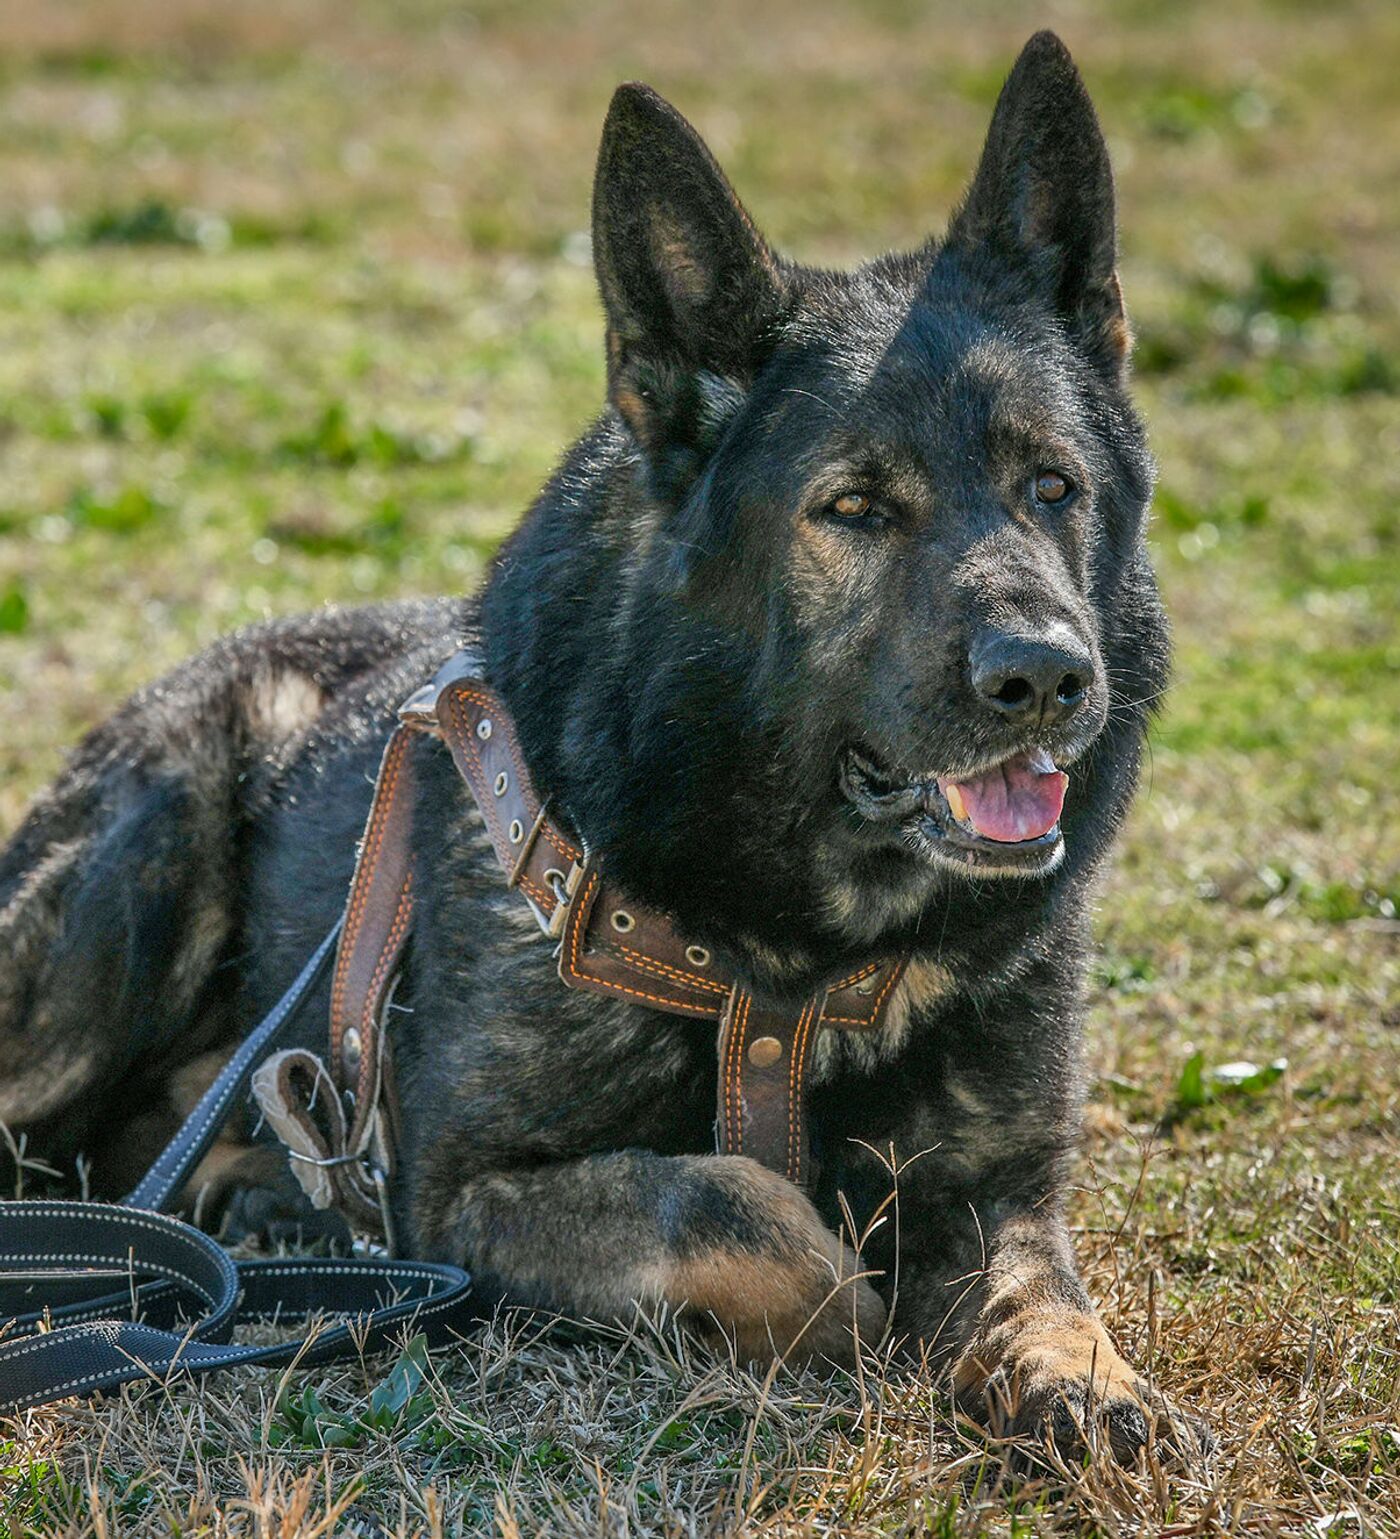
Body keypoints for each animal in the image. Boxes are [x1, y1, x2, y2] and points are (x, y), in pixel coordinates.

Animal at [0, 30, 1212, 1458]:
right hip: (133, 890)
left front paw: (1088, 1378)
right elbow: (728, 1204)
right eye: (853, 508)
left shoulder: (996, 1192)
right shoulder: (461, 1200)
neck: (793, 958)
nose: (1044, 675)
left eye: (1052, 487)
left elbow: (1037, 1288)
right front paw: (843, 1307)